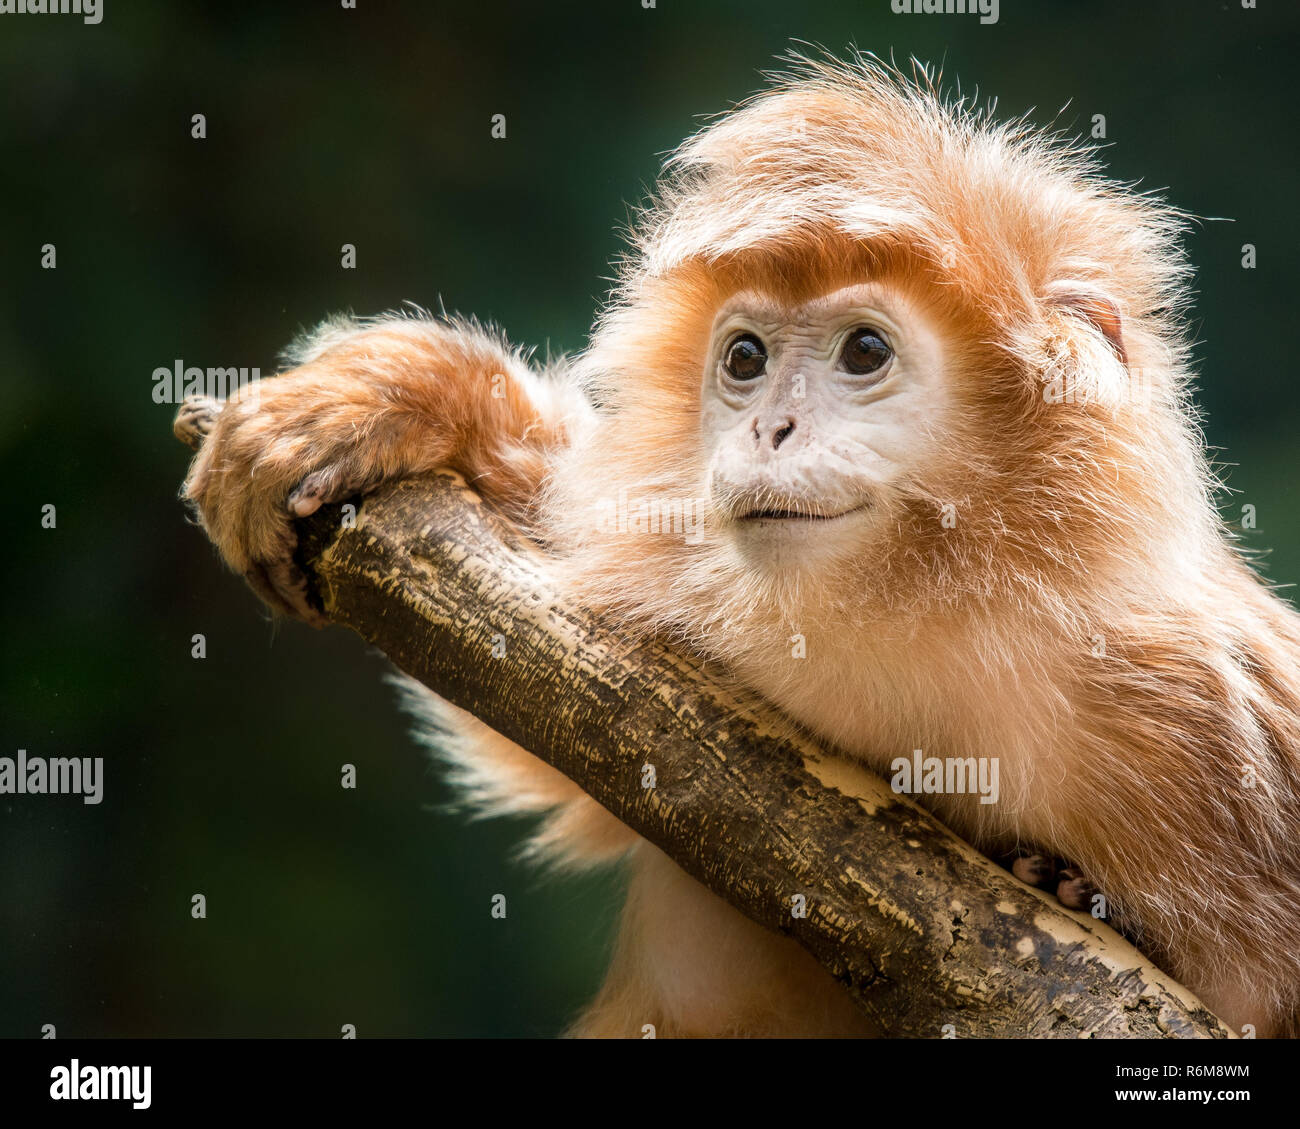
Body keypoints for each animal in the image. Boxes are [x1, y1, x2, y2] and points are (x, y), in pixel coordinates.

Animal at [178, 55, 1300, 1040]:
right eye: (746, 360)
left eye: (864, 351)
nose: (769, 429)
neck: (926, 609)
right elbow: (533, 705)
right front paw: (400, 398)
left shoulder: (1198, 696)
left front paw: (1062, 881)